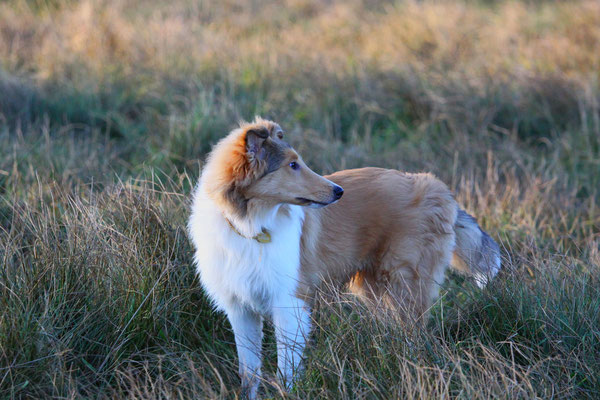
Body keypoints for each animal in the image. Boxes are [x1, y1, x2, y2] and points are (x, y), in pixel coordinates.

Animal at [189, 117, 502, 398]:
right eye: (292, 165)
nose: (339, 192)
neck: (249, 227)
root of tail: (438, 187)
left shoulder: (289, 302)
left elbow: (286, 368)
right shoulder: (240, 308)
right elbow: (249, 372)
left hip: (405, 282)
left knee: (416, 335)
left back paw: (412, 370)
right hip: (375, 287)